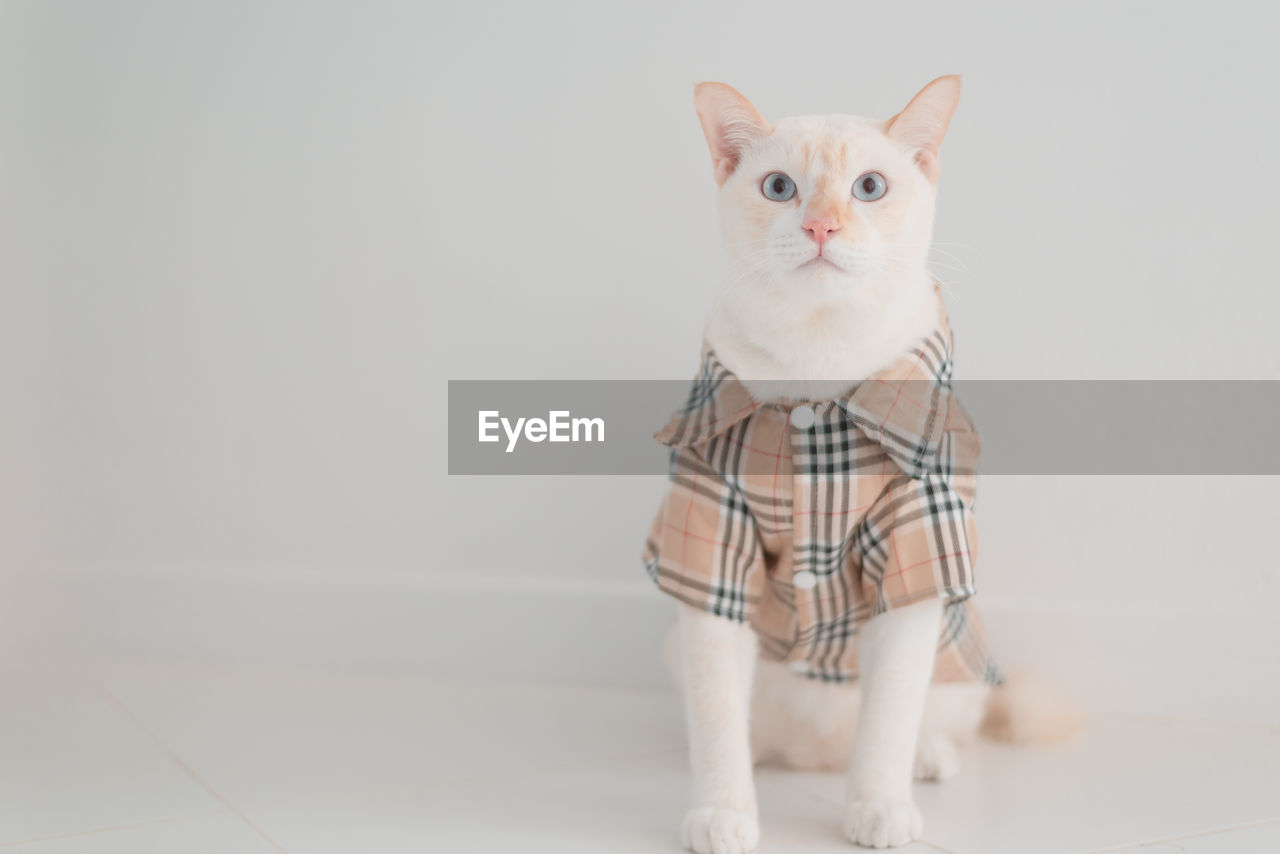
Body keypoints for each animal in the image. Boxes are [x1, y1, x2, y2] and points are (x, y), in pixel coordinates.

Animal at [645, 76, 1075, 850]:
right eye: (779, 187)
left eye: (869, 187)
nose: (822, 227)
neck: (820, 367)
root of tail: (816, 756)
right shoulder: (713, 539)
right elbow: (717, 713)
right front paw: (724, 811)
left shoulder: (916, 544)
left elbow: (889, 719)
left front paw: (878, 805)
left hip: (958, 661)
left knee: (921, 722)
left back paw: (925, 760)